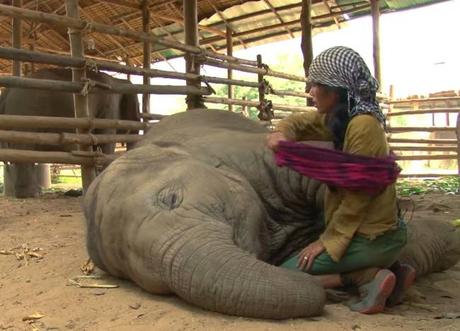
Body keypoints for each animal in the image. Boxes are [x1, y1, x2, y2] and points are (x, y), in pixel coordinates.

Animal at [0, 67, 140, 197]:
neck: (118, 81)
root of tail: (6, 92)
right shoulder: (109, 108)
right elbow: (105, 141)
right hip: (25, 112)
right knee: (24, 148)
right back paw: (32, 194)